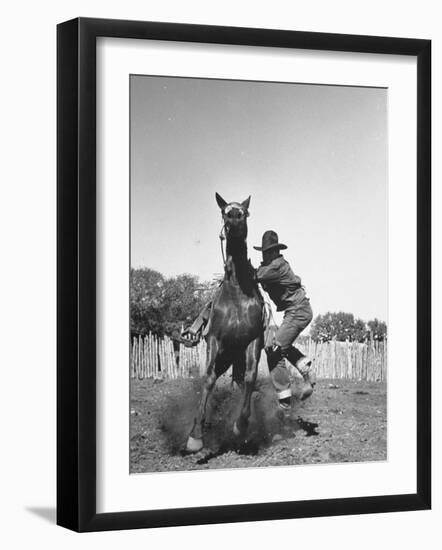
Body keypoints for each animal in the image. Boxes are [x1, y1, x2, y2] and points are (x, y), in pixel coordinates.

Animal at [185, 194, 264, 452]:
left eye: (245, 212)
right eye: (224, 212)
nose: (234, 219)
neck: (237, 291)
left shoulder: (253, 341)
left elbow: (250, 377)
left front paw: (241, 425)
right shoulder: (214, 339)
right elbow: (209, 379)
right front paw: (195, 436)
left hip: (235, 357)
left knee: (240, 381)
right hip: (224, 356)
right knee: (214, 378)